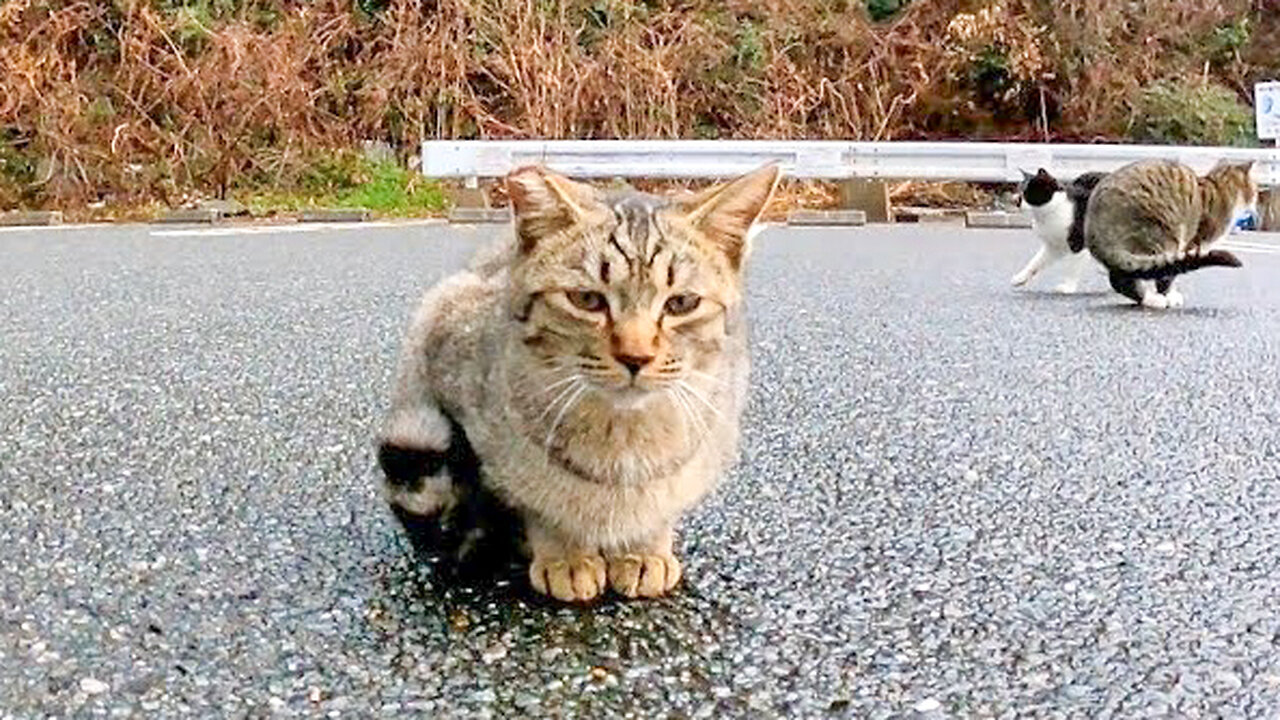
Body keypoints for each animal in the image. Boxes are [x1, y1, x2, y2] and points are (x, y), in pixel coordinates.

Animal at [376, 162, 778, 599]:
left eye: (681, 304)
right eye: (587, 300)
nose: (635, 357)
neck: (622, 436)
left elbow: (659, 504)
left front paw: (644, 549)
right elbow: (538, 499)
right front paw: (565, 554)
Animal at [1085, 158, 1254, 307]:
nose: (1255, 198)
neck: (1218, 188)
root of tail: (1094, 228)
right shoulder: (1191, 244)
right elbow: (1171, 273)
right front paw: (1170, 297)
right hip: (1163, 235)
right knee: (1128, 277)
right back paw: (1152, 300)